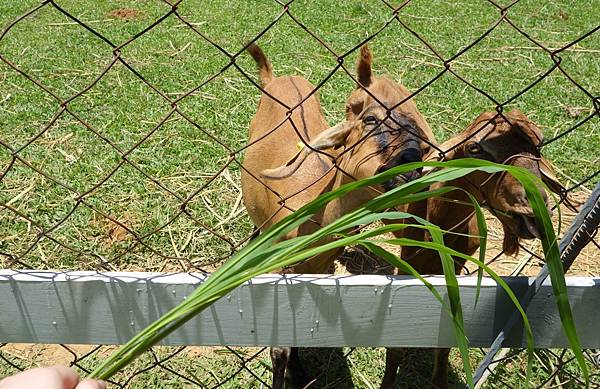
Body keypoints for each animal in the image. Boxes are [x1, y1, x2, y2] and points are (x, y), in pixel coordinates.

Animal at [241, 44, 434, 388]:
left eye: (424, 143)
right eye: (369, 118)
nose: (409, 171)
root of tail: (276, 78)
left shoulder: (317, 268)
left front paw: (300, 372)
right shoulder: (280, 270)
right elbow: (279, 349)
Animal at [380, 109, 568, 388]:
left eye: (538, 145)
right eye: (475, 147)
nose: (532, 207)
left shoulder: (455, 267)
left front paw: (440, 381)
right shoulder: (408, 265)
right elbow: (395, 345)